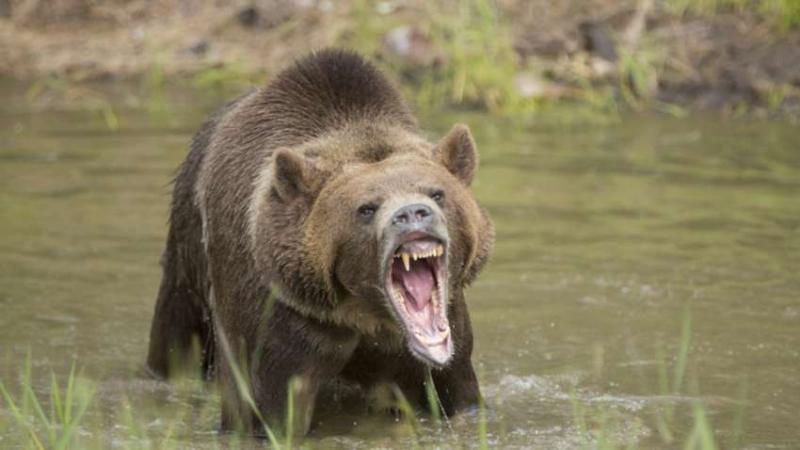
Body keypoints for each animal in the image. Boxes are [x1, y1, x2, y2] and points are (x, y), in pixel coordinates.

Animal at [145, 46, 494, 436]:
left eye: (437, 193)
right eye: (366, 208)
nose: (412, 213)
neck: (364, 312)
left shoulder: (443, 334)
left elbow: (456, 389)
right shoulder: (280, 318)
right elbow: (267, 408)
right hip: (188, 251)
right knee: (177, 334)